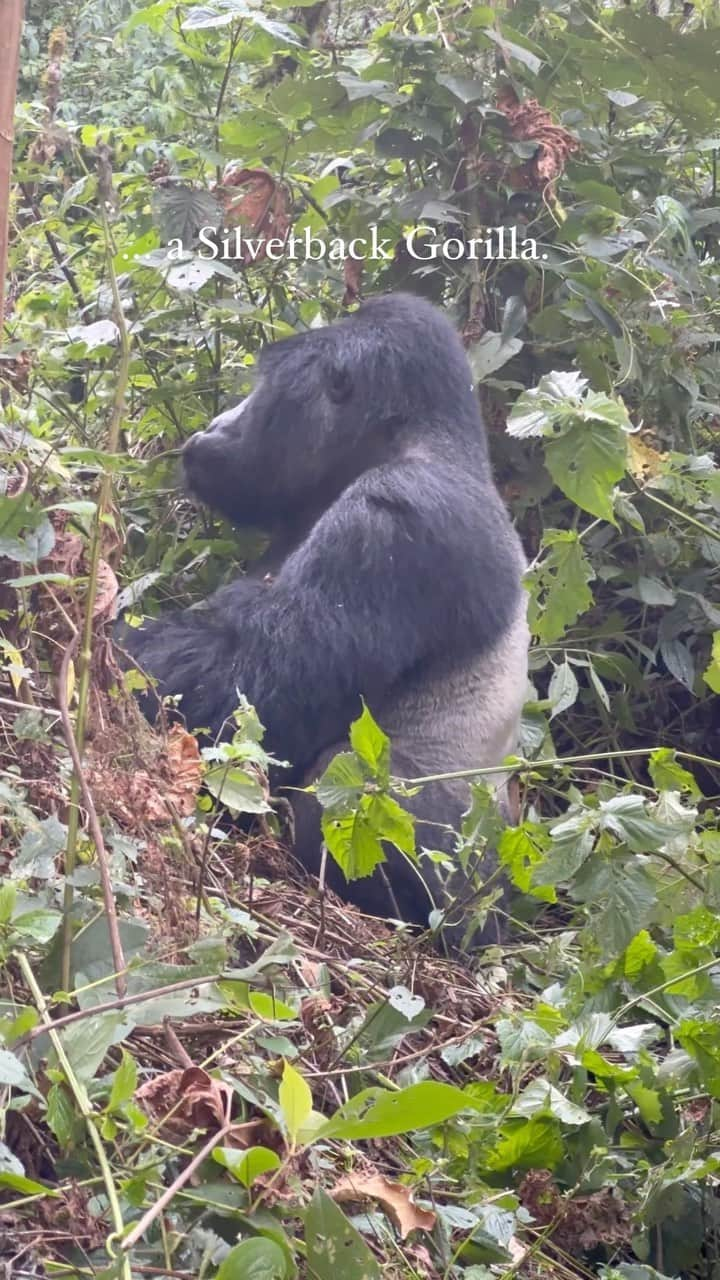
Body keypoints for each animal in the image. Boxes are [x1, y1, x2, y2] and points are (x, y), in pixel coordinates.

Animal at [119, 294, 527, 947]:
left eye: (263, 388)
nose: (219, 423)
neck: (419, 440)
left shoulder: (396, 514)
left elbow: (251, 693)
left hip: (471, 888)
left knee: (341, 781)